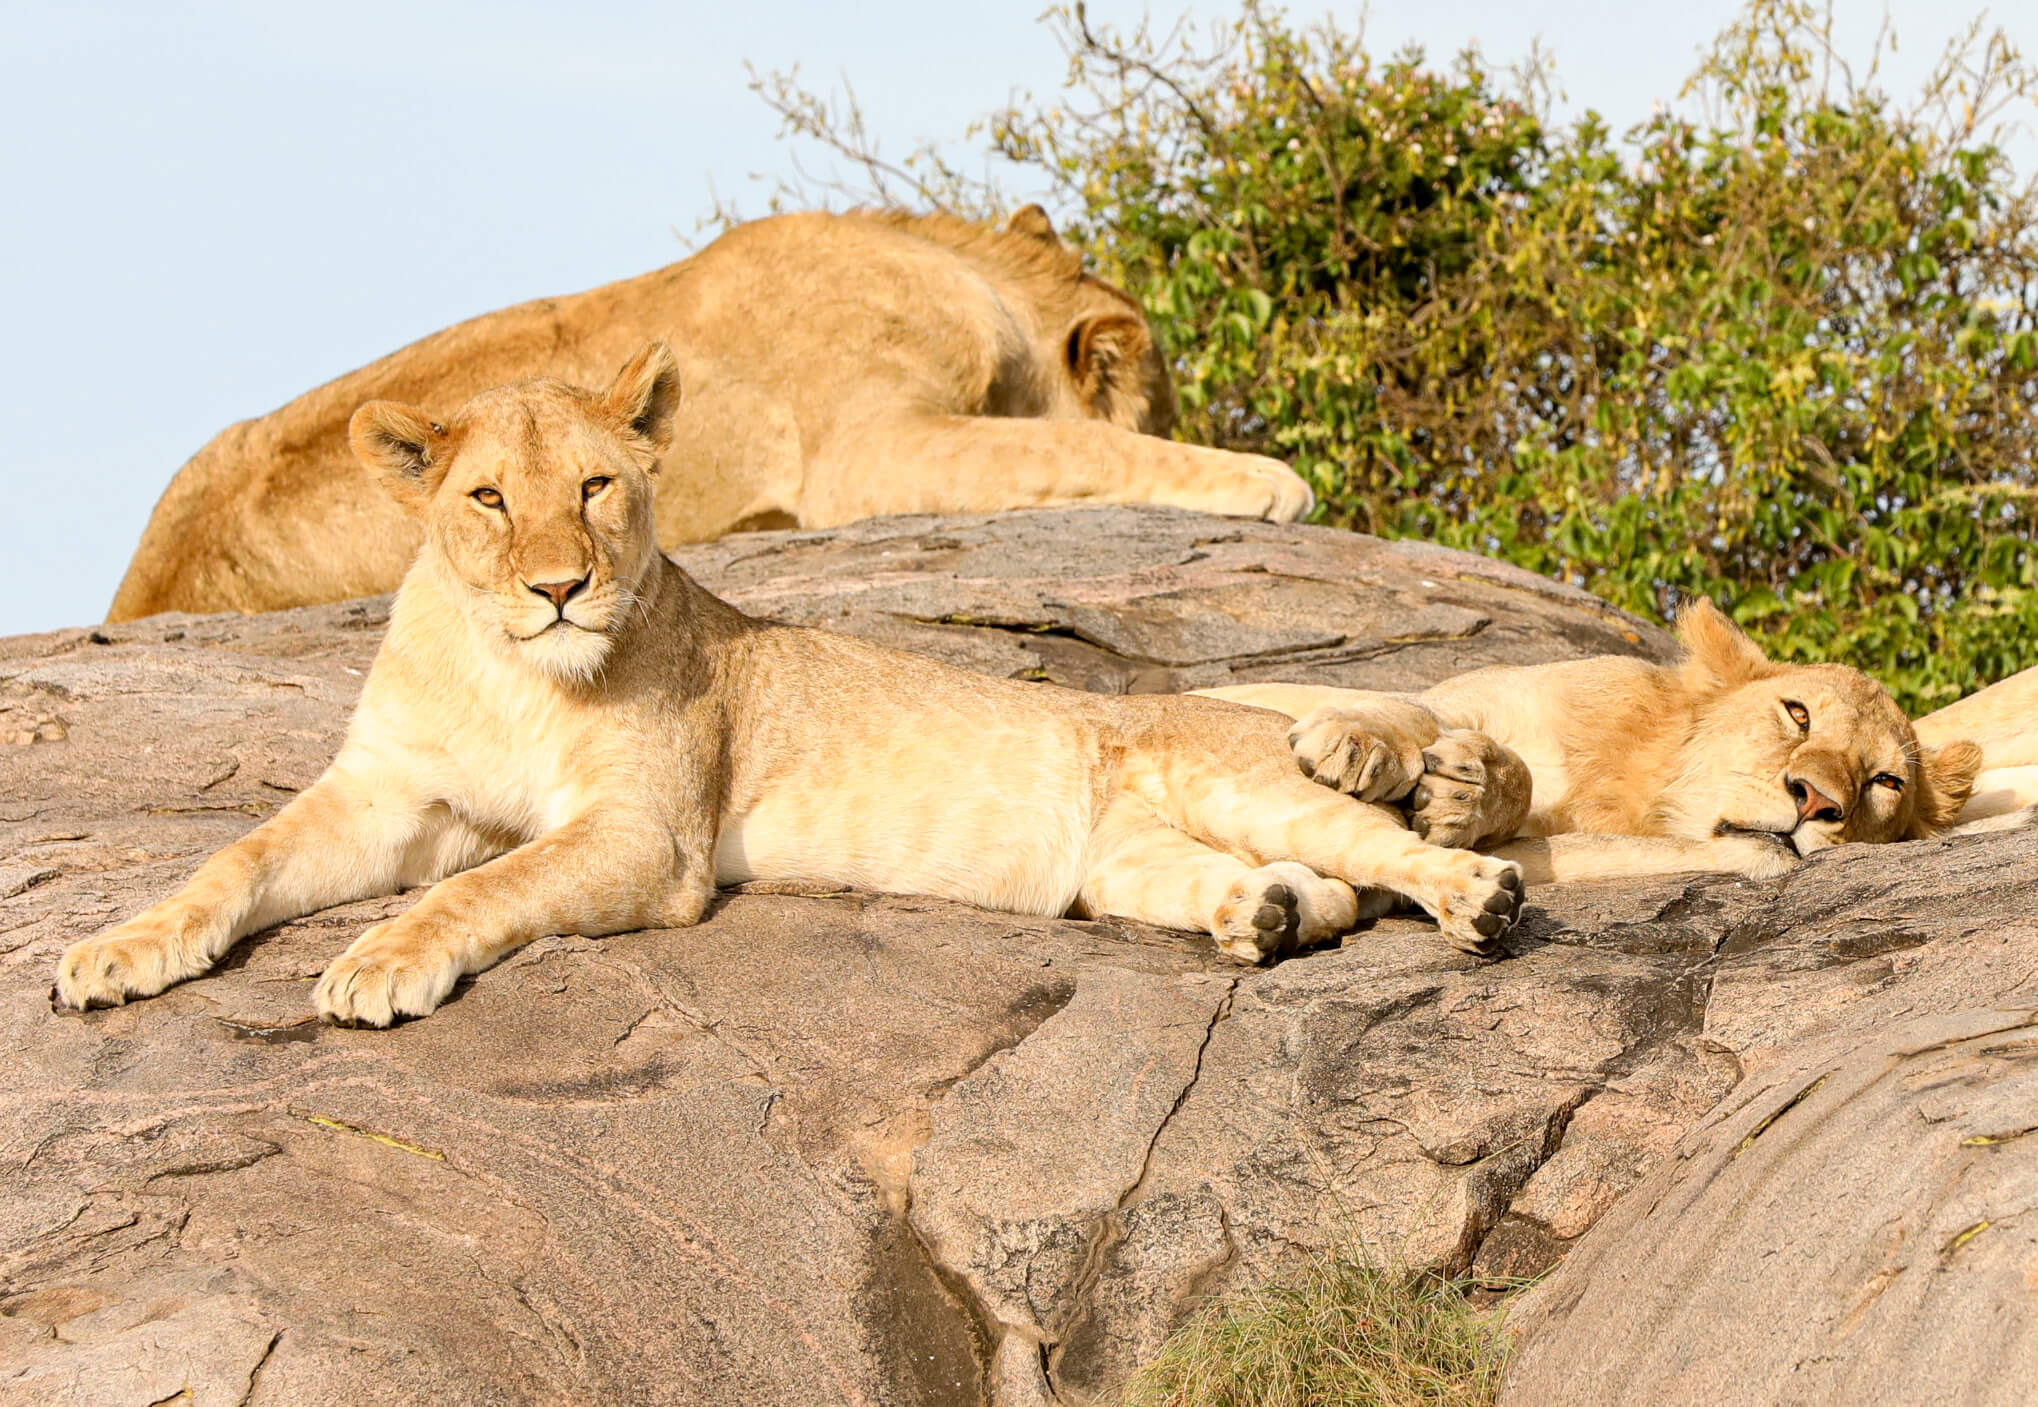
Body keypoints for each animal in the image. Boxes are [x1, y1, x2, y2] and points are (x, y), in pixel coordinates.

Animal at [55, 344, 1532, 1023]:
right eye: (486, 500)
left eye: (596, 487)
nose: (559, 588)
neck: (510, 673)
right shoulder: (387, 796)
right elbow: (236, 860)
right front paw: (112, 952)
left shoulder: (648, 838)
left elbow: (484, 886)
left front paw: (378, 961)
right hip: (1125, 865)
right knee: (1314, 893)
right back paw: (1257, 921)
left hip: (1247, 777)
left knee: (1386, 851)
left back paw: (1482, 900)